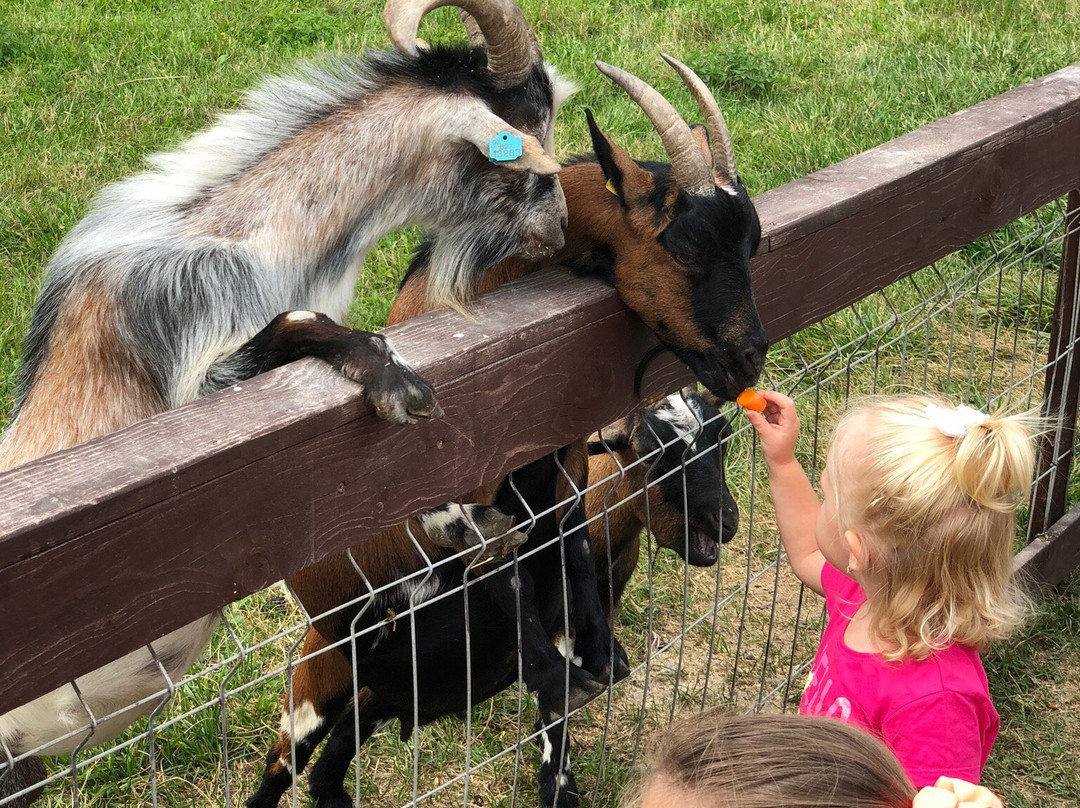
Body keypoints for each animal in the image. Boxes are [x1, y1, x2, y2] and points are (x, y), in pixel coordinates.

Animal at [0, 1, 574, 803]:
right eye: (523, 145)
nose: (560, 224)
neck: (247, 234)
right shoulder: (203, 406)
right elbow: (299, 327)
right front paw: (397, 383)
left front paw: (465, 518)